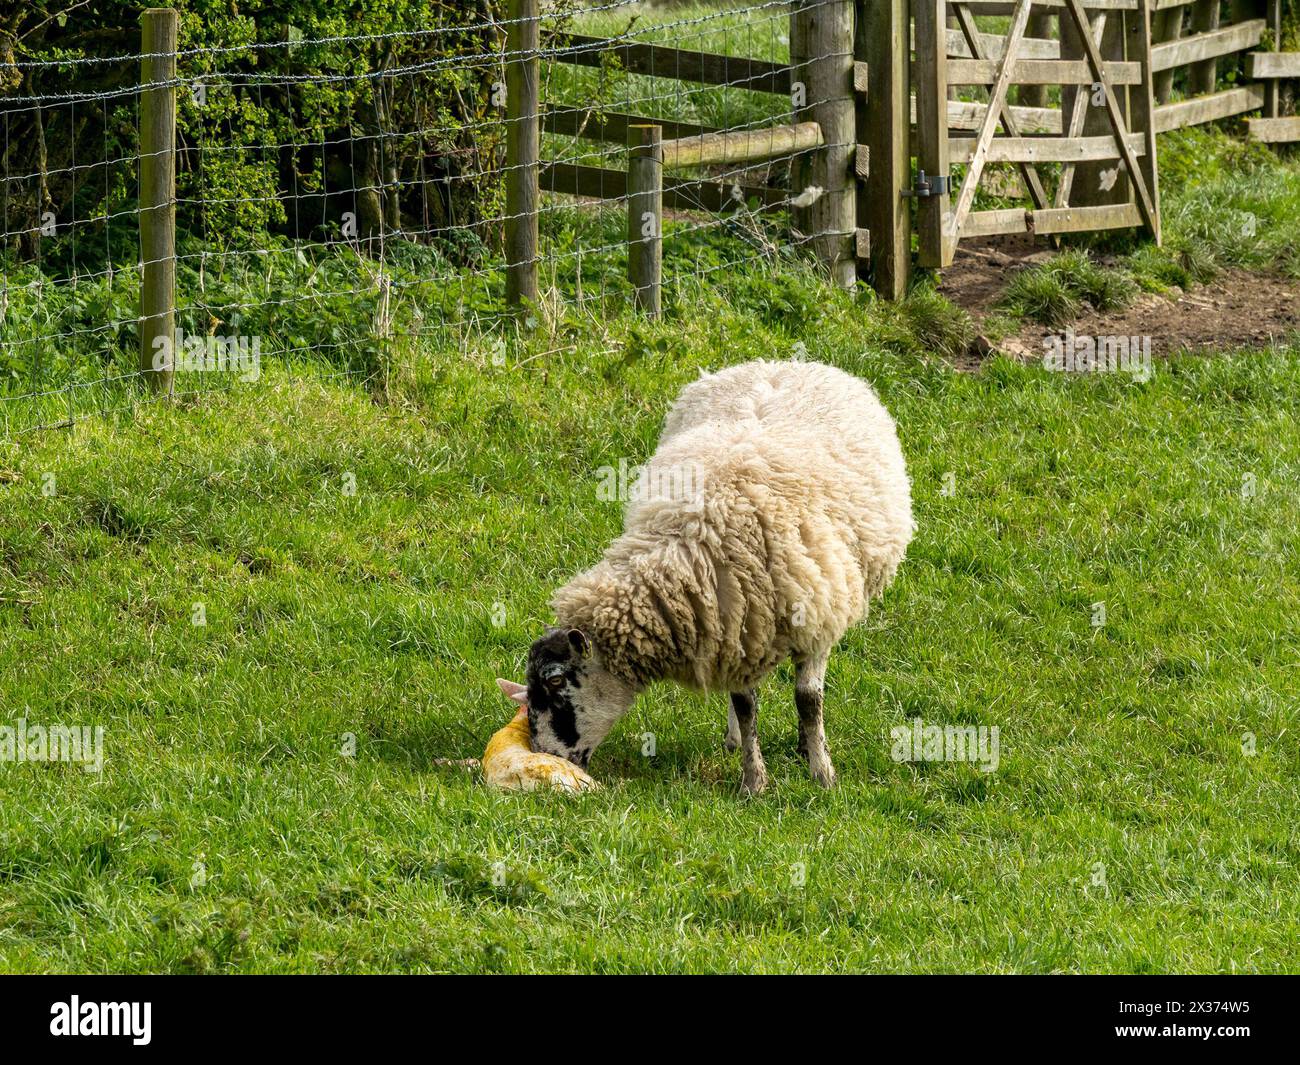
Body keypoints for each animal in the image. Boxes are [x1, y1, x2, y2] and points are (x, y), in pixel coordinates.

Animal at [514, 358, 915, 790]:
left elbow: (809, 699)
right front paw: (754, 780)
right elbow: (745, 704)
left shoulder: (818, 617)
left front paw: (821, 772)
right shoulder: (737, 627)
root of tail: (784, 362)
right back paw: (735, 739)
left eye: (556, 681)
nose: (542, 754)